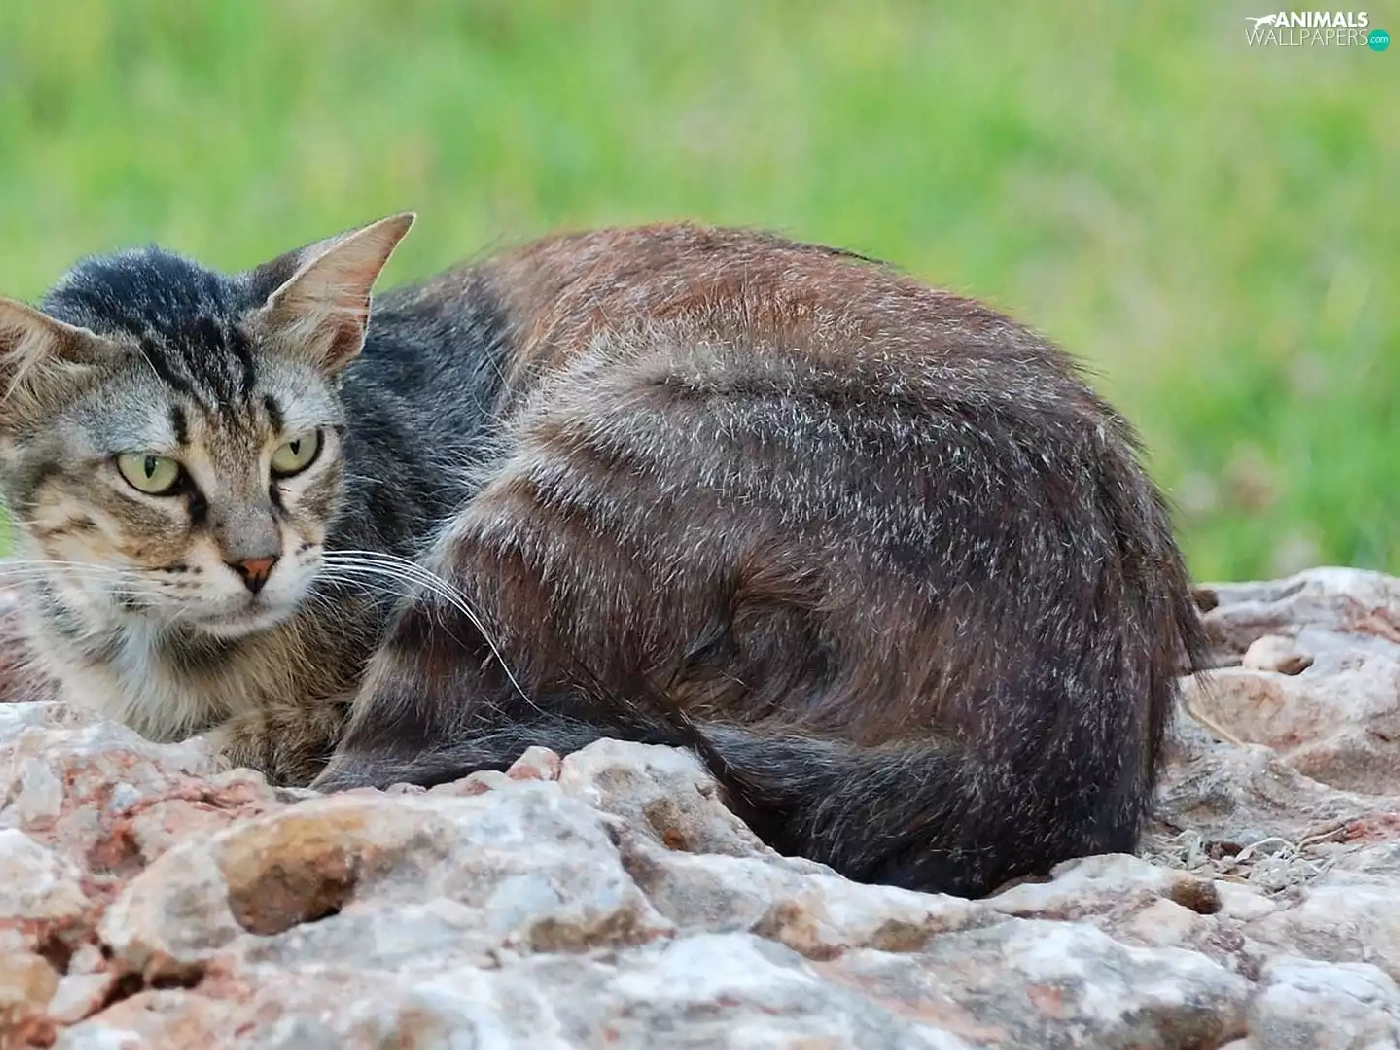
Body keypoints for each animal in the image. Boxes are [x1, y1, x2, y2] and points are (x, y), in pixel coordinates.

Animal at [0, 216, 1205, 897]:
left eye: (295, 449)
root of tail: (1055, 762)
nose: (257, 562)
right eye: (153, 472)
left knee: (370, 778)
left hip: (558, 496)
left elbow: (258, 745)